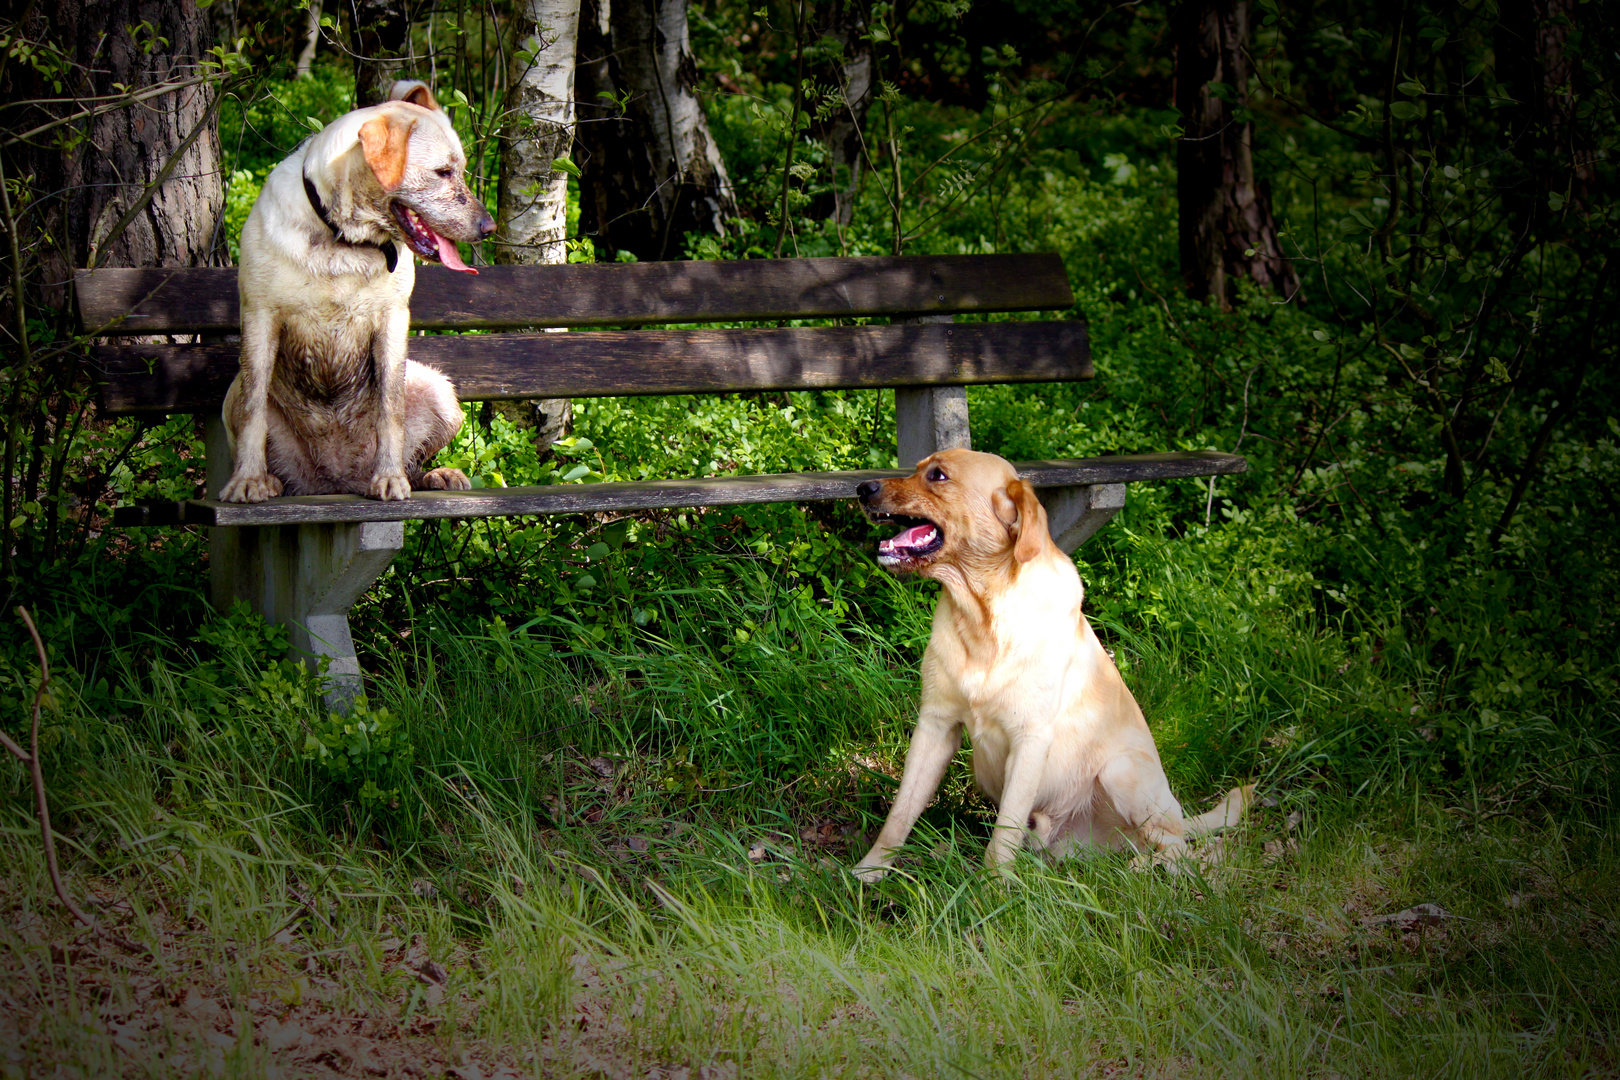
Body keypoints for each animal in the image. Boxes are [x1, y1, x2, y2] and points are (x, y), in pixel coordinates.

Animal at [220, 80, 492, 501]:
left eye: (459, 171)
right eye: (443, 172)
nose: (489, 227)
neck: (345, 242)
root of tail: (336, 481)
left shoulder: (392, 321)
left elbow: (391, 407)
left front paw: (389, 476)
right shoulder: (260, 316)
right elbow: (253, 411)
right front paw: (247, 480)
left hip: (438, 388)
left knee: (414, 453)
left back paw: (434, 475)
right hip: (230, 394)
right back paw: (271, 480)